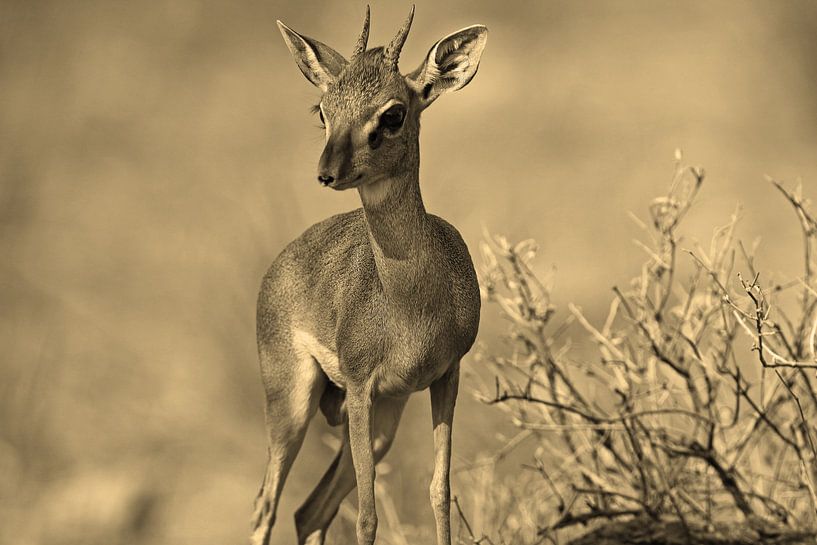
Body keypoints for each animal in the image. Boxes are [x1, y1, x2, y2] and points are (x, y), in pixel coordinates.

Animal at [252, 5, 484, 544]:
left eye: (393, 113)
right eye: (322, 110)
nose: (326, 173)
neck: (411, 305)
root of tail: (282, 261)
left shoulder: (446, 376)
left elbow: (439, 492)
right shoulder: (360, 389)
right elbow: (367, 513)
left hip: (384, 419)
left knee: (308, 511)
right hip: (293, 403)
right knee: (266, 506)